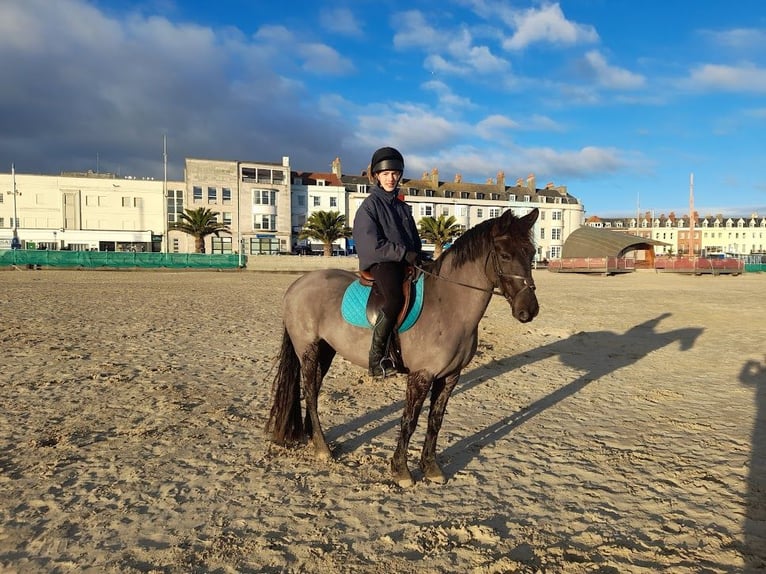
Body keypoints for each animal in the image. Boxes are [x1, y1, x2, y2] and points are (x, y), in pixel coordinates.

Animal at [268, 209, 544, 488]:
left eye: (531, 253)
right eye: (505, 255)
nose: (529, 310)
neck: (449, 306)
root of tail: (298, 284)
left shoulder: (450, 377)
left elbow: (435, 421)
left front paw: (431, 468)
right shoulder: (421, 376)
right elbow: (409, 421)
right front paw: (401, 470)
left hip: (326, 350)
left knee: (313, 390)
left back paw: (313, 439)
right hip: (308, 350)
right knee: (310, 393)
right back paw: (322, 448)